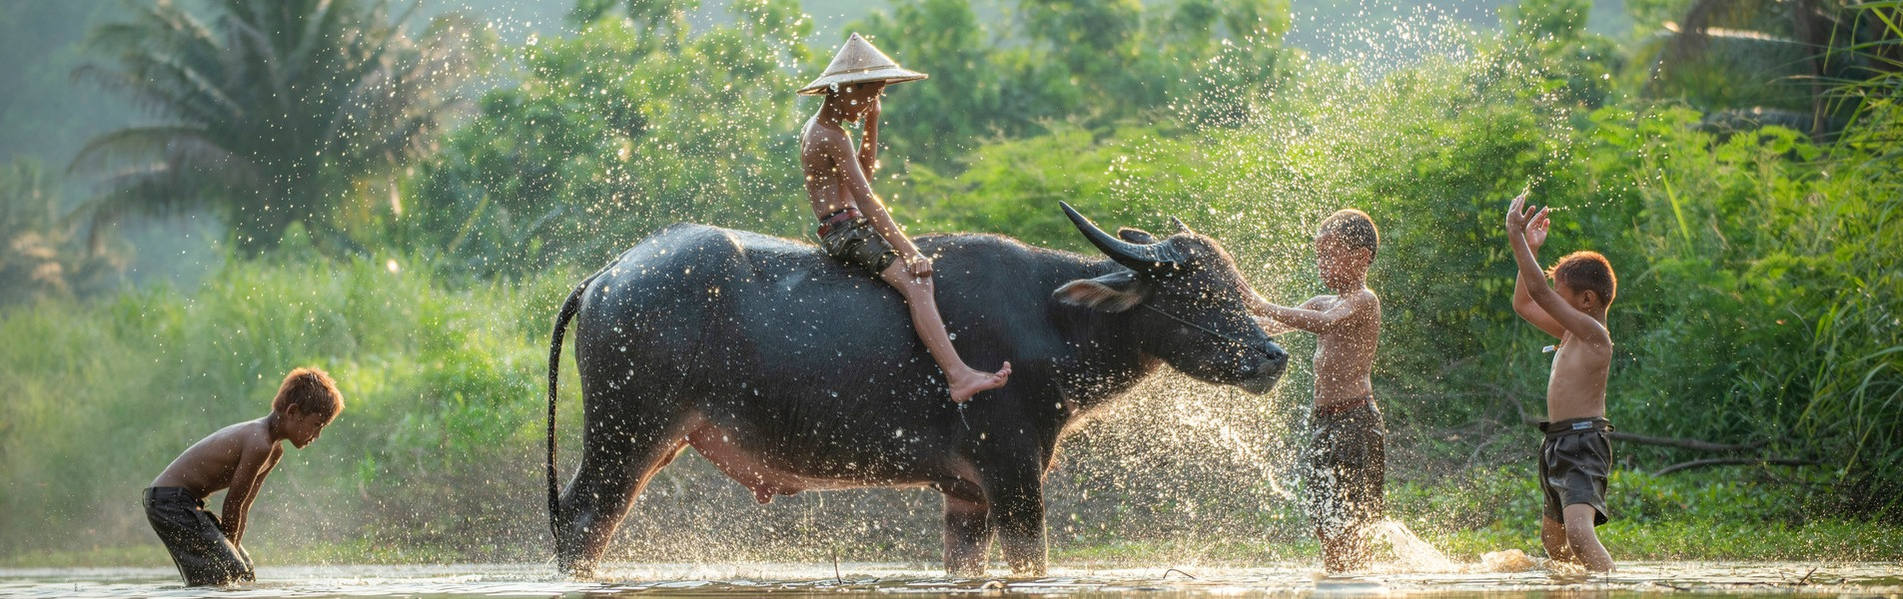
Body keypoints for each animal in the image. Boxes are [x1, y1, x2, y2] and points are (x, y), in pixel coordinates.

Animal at [551, 204, 1294, 578]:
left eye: (1233, 283)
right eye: (1198, 293)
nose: (1273, 354)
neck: (1049, 317)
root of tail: (608, 276)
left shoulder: (967, 495)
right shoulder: (1013, 473)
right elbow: (1032, 558)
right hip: (623, 439)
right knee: (582, 523)